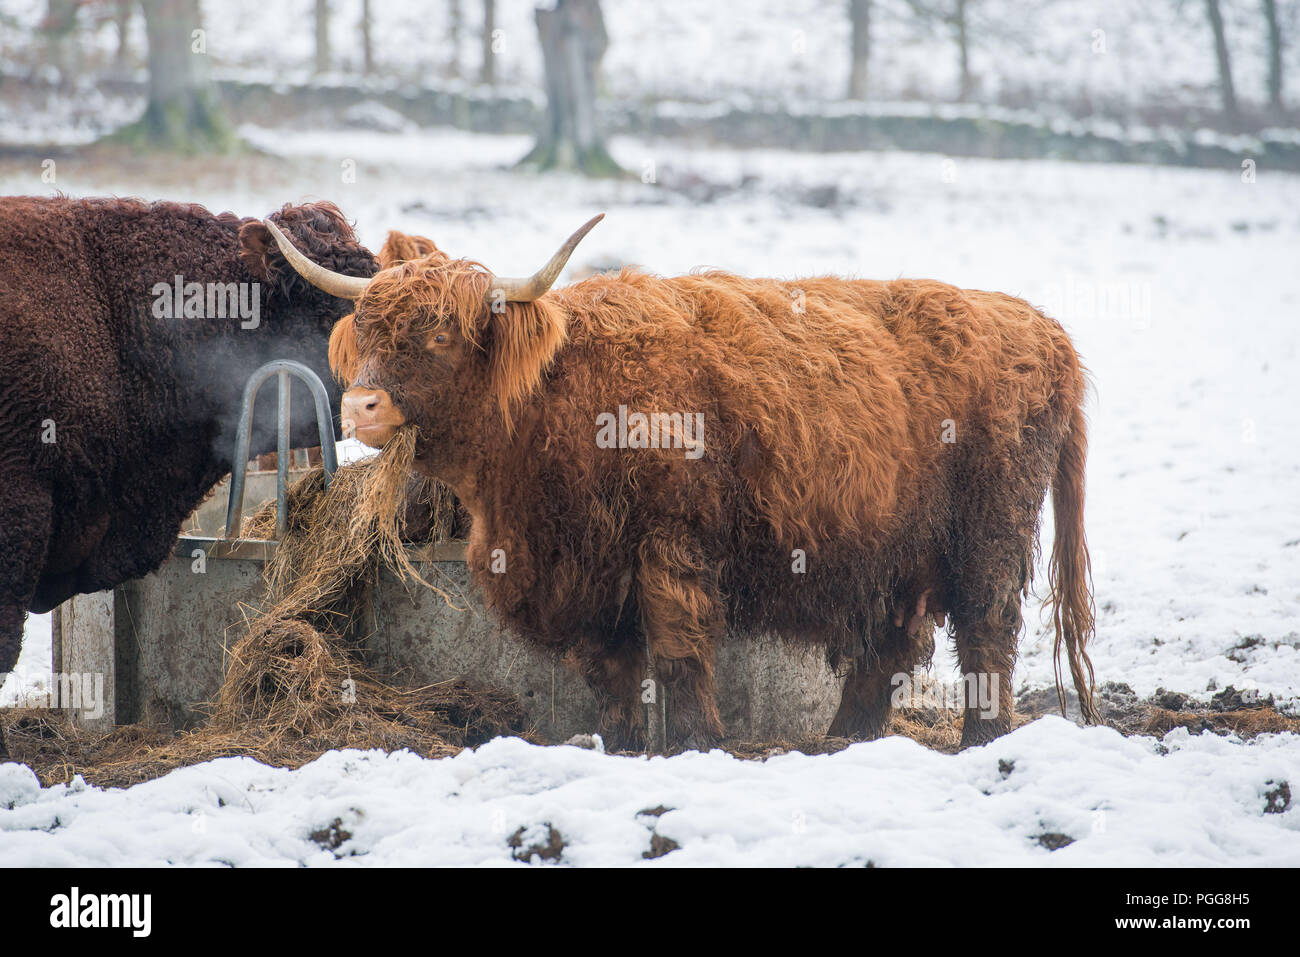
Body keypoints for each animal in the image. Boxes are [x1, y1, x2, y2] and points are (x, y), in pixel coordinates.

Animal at [266, 214, 1100, 752]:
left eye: (439, 333)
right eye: (366, 331)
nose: (361, 404)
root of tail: (1041, 326)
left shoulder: (671, 547)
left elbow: (676, 651)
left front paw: (697, 741)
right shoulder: (585, 566)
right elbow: (608, 668)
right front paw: (621, 741)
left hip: (989, 531)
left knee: (987, 628)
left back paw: (982, 737)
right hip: (895, 547)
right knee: (889, 642)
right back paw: (843, 740)